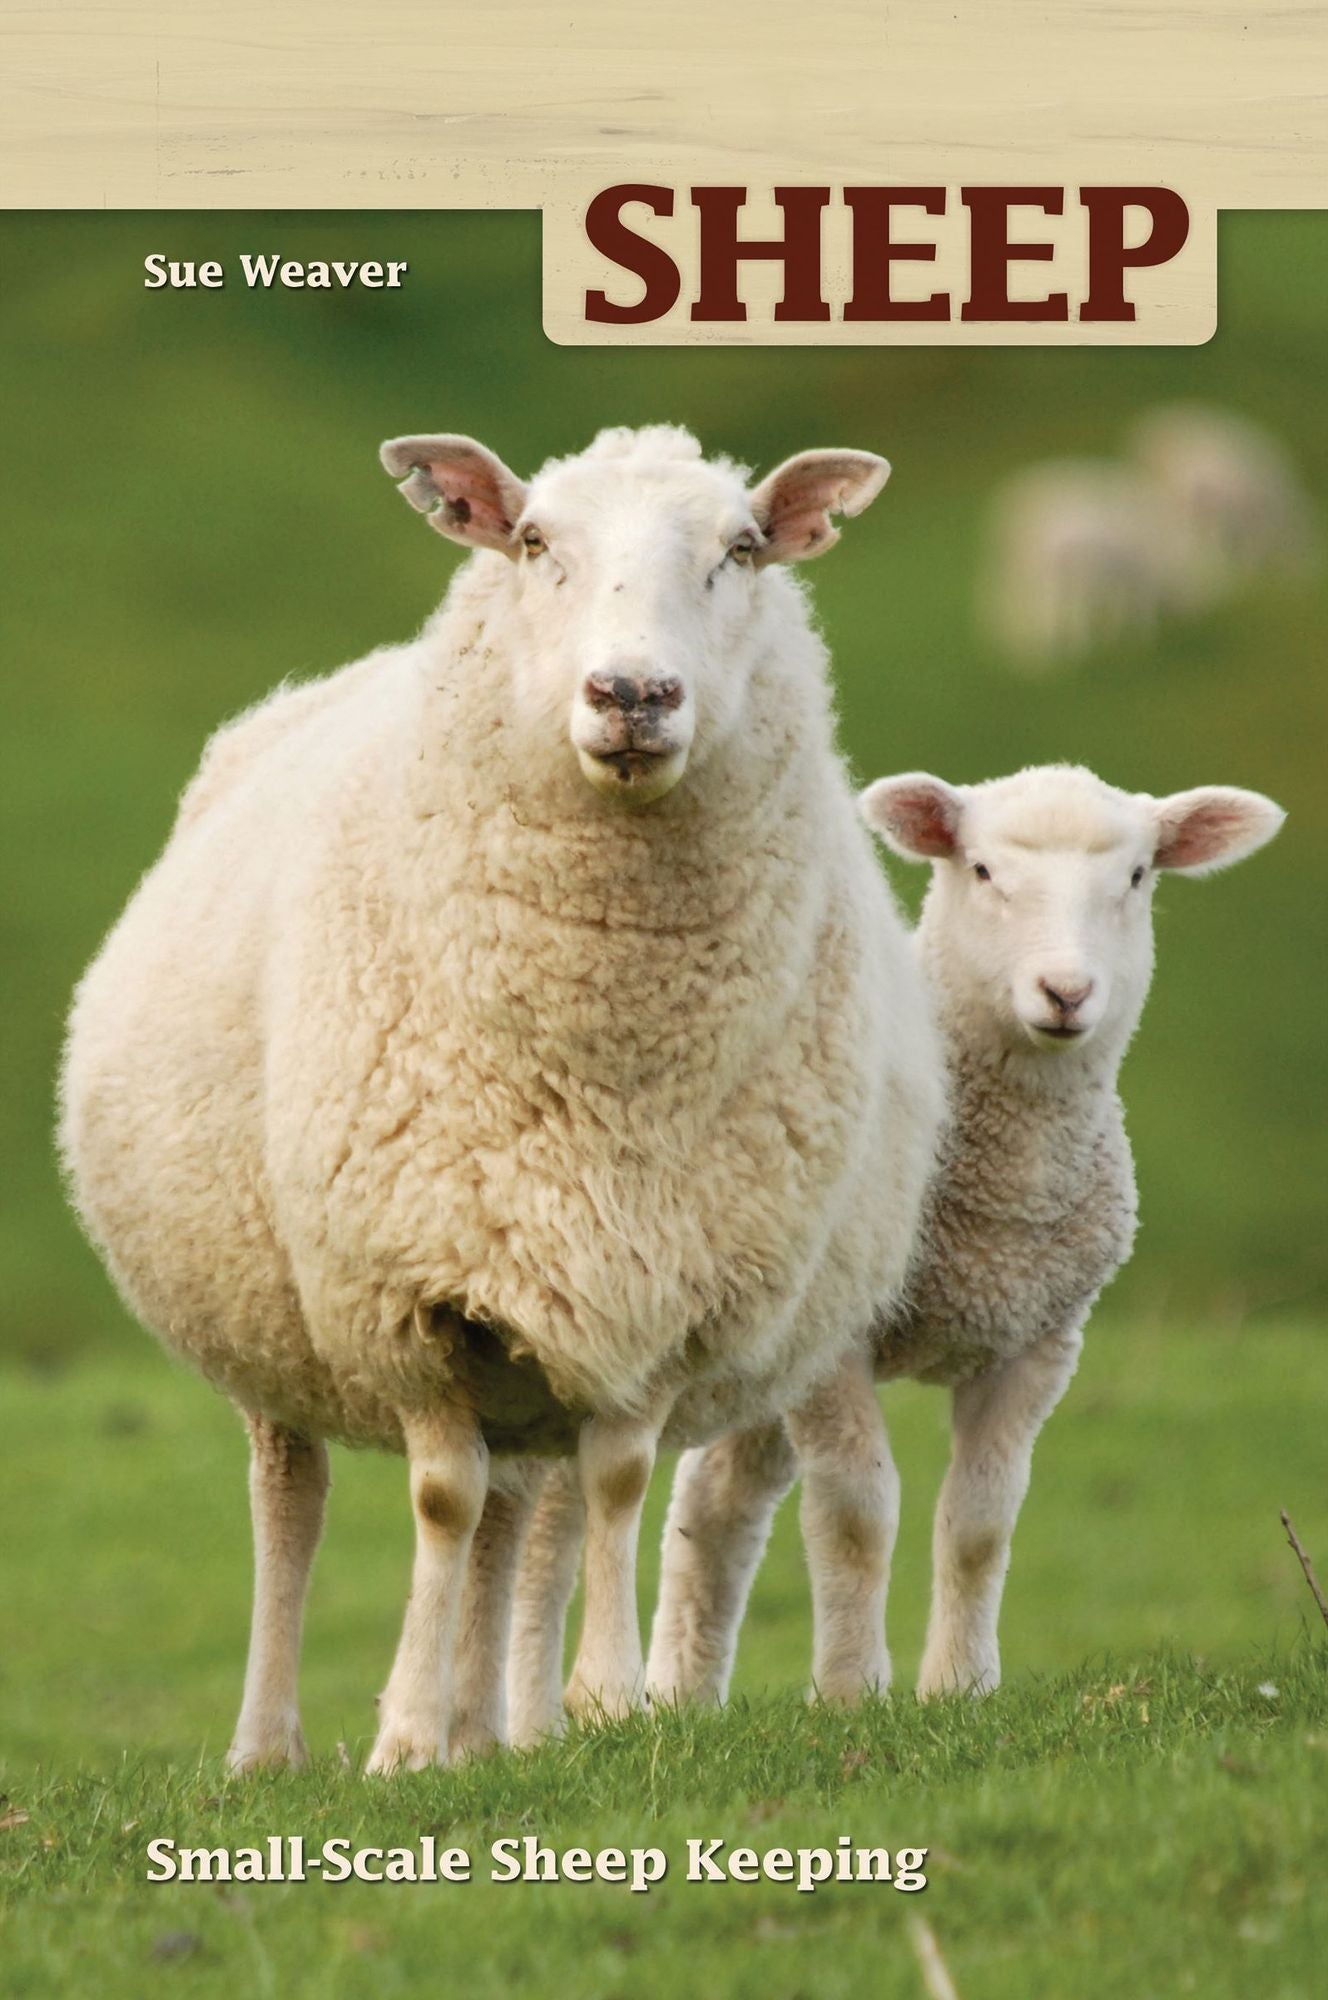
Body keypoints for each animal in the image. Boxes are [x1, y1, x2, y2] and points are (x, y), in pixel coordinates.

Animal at [58, 423, 945, 1772]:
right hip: (273, 1314)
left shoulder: (650, 1285)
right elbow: (436, 1496)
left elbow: (611, 1484)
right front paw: (403, 1738)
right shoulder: (407, 1291)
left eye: (741, 548)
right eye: (532, 542)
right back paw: (272, 1743)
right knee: (293, 1502)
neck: (602, 1058)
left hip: (529, 1334)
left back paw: (488, 1730)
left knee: (515, 1511)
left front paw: (599, 1701)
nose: (632, 694)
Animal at [509, 763, 1284, 1721]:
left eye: (1138, 877)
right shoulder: (840, 1346)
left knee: (714, 1506)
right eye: (982, 870)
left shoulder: (1037, 1343)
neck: (999, 1194)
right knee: (551, 1530)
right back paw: (532, 1722)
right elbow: (856, 1514)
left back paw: (684, 1698)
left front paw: (960, 1687)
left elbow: (981, 1523)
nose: (1066, 993)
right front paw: (851, 1690)